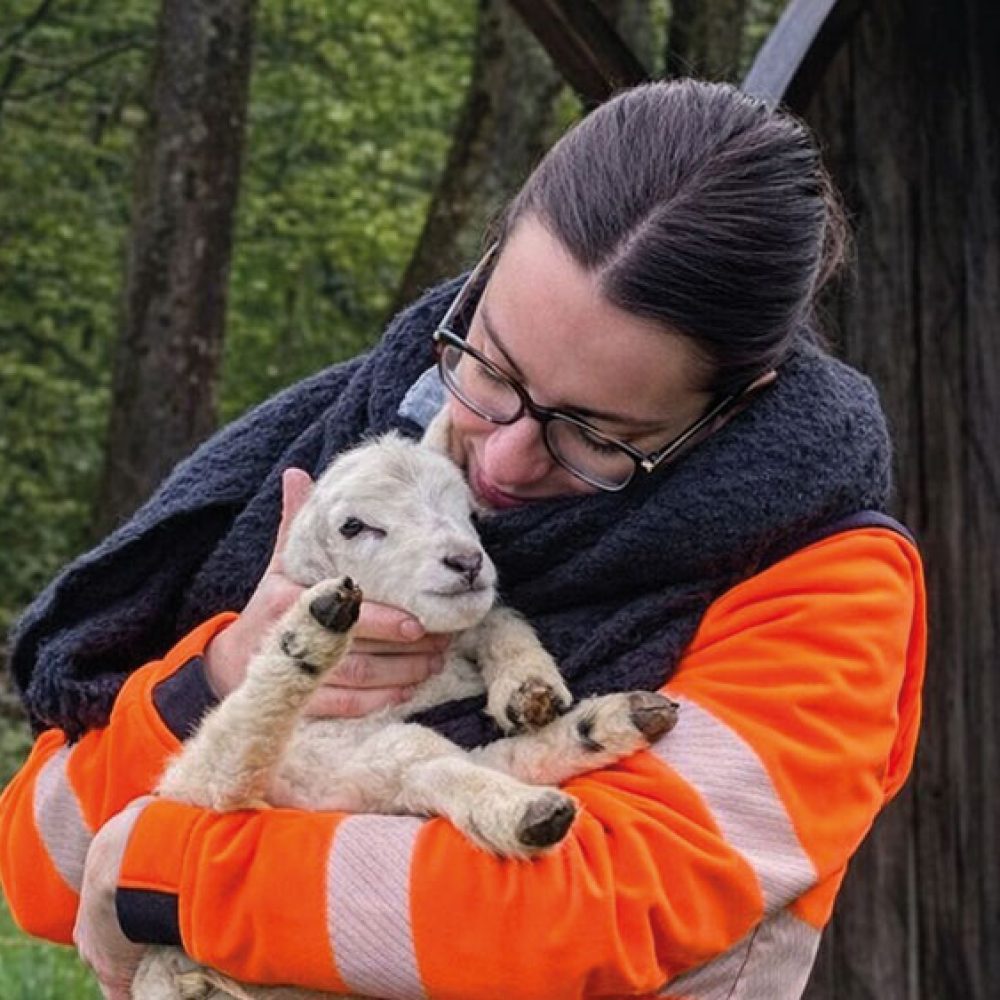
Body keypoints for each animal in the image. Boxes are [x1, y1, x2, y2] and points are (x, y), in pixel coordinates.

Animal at [130, 416, 678, 1000]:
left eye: (469, 511)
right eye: (355, 527)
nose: (466, 562)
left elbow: (495, 619)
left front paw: (528, 683)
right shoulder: (331, 752)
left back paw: (608, 726)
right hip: (229, 777)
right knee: (255, 748)